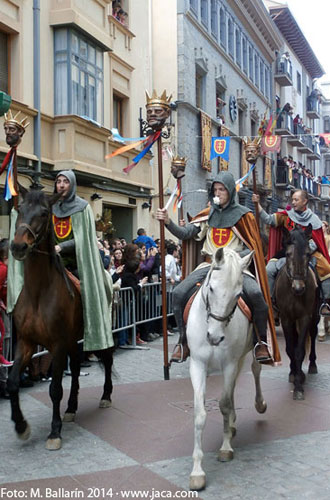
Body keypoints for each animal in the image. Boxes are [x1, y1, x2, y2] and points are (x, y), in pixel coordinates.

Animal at [7, 187, 114, 450]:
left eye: (45, 213)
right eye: (20, 209)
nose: (18, 247)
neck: (38, 292)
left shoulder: (56, 345)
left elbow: (55, 389)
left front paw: (55, 432)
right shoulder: (26, 342)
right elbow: (13, 382)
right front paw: (21, 426)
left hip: (101, 330)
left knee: (107, 360)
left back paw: (106, 396)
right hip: (74, 341)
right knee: (75, 368)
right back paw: (71, 408)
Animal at [187, 248, 266, 490]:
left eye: (238, 294)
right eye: (211, 288)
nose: (214, 337)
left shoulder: (230, 363)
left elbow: (223, 403)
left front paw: (225, 448)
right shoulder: (197, 364)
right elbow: (200, 413)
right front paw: (197, 472)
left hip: (247, 354)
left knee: (254, 370)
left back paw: (258, 405)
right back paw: (231, 425)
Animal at [274, 225, 318, 400]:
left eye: (308, 254)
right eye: (287, 254)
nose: (299, 288)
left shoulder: (305, 318)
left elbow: (299, 351)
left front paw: (299, 386)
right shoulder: (286, 318)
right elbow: (290, 348)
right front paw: (294, 374)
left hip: (314, 318)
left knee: (312, 336)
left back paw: (312, 365)